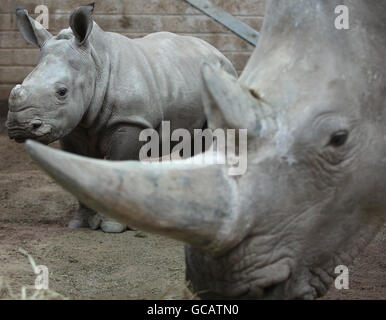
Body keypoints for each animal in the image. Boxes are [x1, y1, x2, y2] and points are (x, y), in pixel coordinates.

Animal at [5, 3, 235, 232]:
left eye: (62, 92)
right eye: (22, 84)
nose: (19, 128)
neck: (95, 63)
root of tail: (218, 52)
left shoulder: (130, 120)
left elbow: (119, 165)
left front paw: (112, 227)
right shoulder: (74, 124)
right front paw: (81, 223)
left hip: (221, 79)